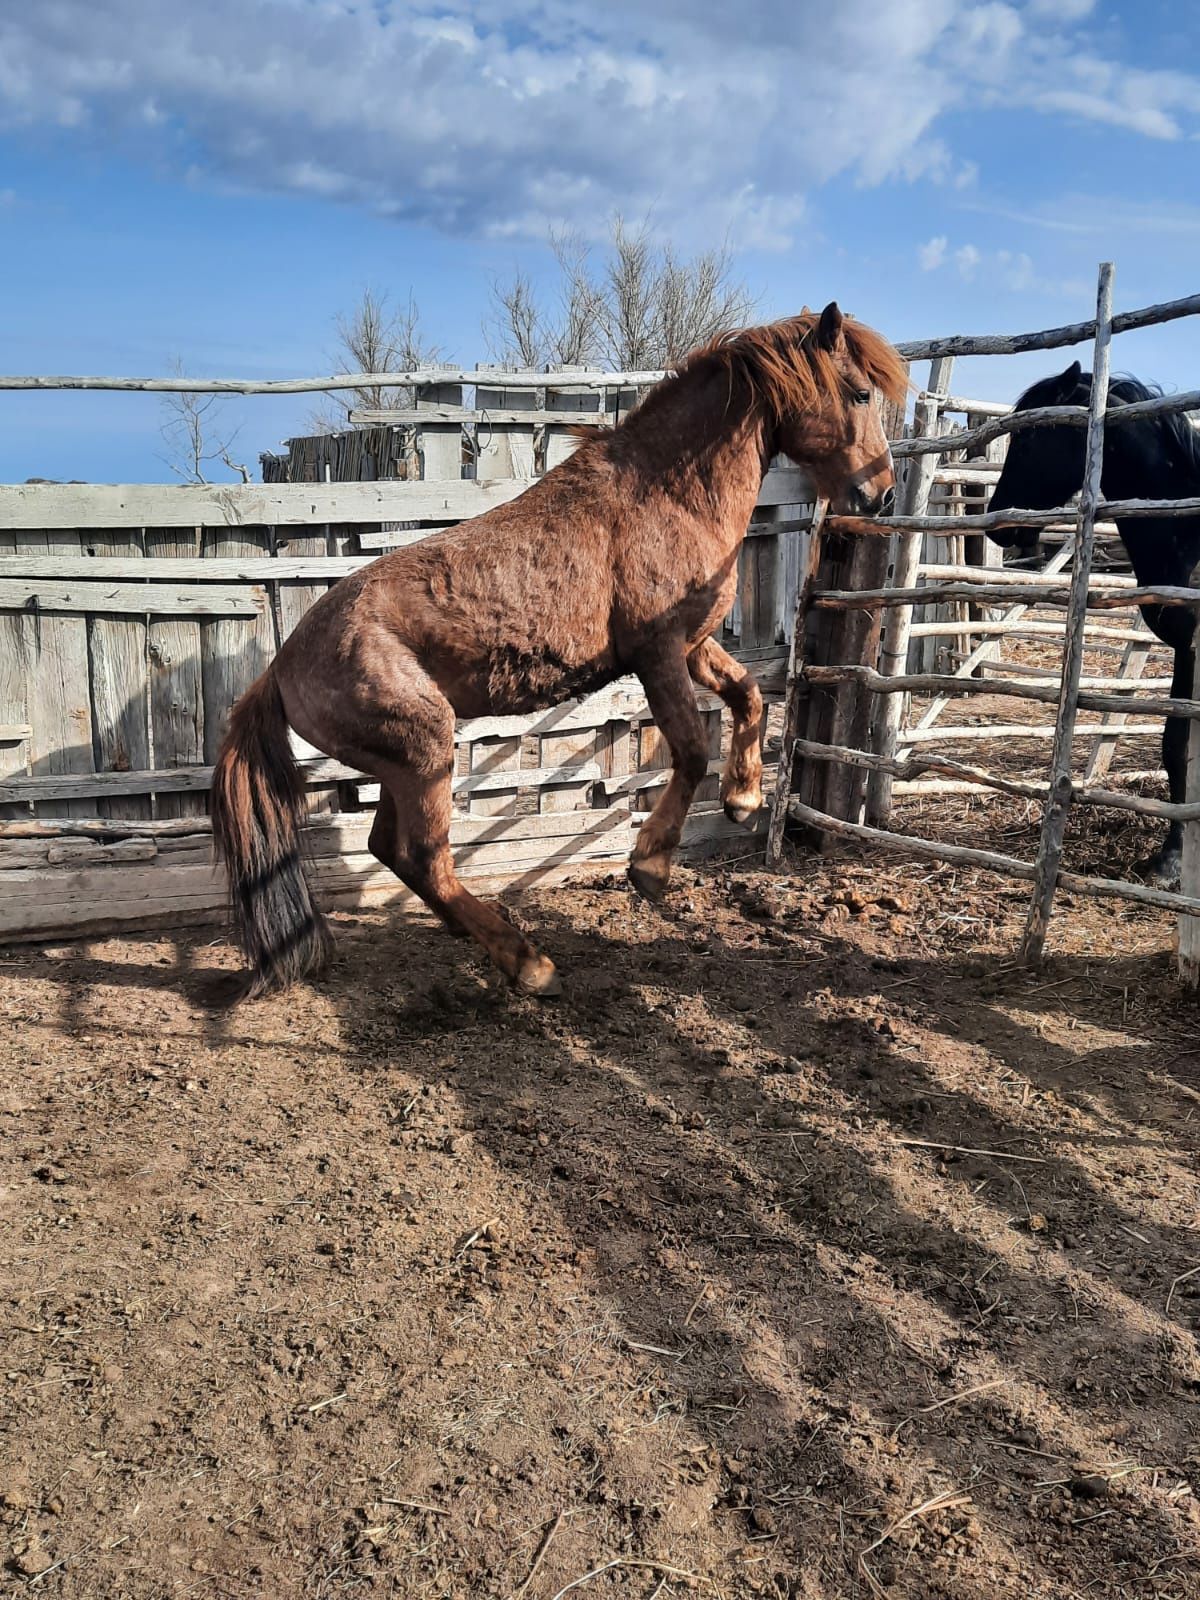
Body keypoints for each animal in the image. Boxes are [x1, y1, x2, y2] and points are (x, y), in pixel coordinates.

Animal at [211, 304, 908, 992]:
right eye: (859, 392)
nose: (881, 494)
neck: (666, 495)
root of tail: (279, 671)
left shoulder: (694, 644)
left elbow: (749, 695)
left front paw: (743, 800)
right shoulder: (657, 653)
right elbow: (688, 750)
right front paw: (650, 865)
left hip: (401, 765)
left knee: (393, 851)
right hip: (426, 751)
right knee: (423, 857)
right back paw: (529, 962)